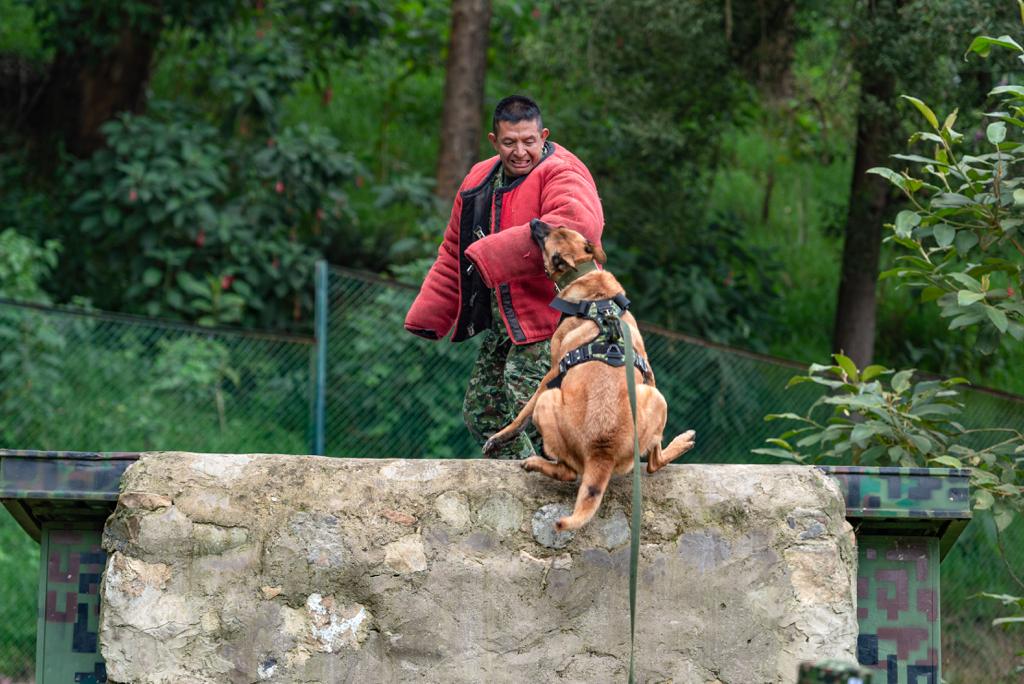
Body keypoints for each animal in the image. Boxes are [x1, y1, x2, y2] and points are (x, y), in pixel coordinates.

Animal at [481, 222, 696, 532]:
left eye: (548, 236)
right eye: (559, 226)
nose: (535, 223)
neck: (594, 294)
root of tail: (601, 452)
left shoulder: (551, 372)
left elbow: (521, 416)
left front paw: (499, 437)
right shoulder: (649, 374)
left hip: (550, 400)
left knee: (572, 472)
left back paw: (534, 463)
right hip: (655, 397)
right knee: (653, 461)